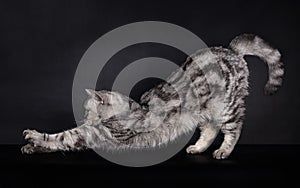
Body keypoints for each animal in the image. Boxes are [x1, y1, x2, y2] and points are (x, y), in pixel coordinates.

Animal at [21, 33, 284, 159]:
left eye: (87, 110)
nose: (83, 118)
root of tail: (230, 50)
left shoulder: (97, 133)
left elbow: (63, 137)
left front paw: (34, 137)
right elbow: (58, 143)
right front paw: (32, 148)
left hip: (227, 107)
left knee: (234, 129)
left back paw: (224, 151)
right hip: (205, 112)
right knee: (210, 130)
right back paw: (198, 148)